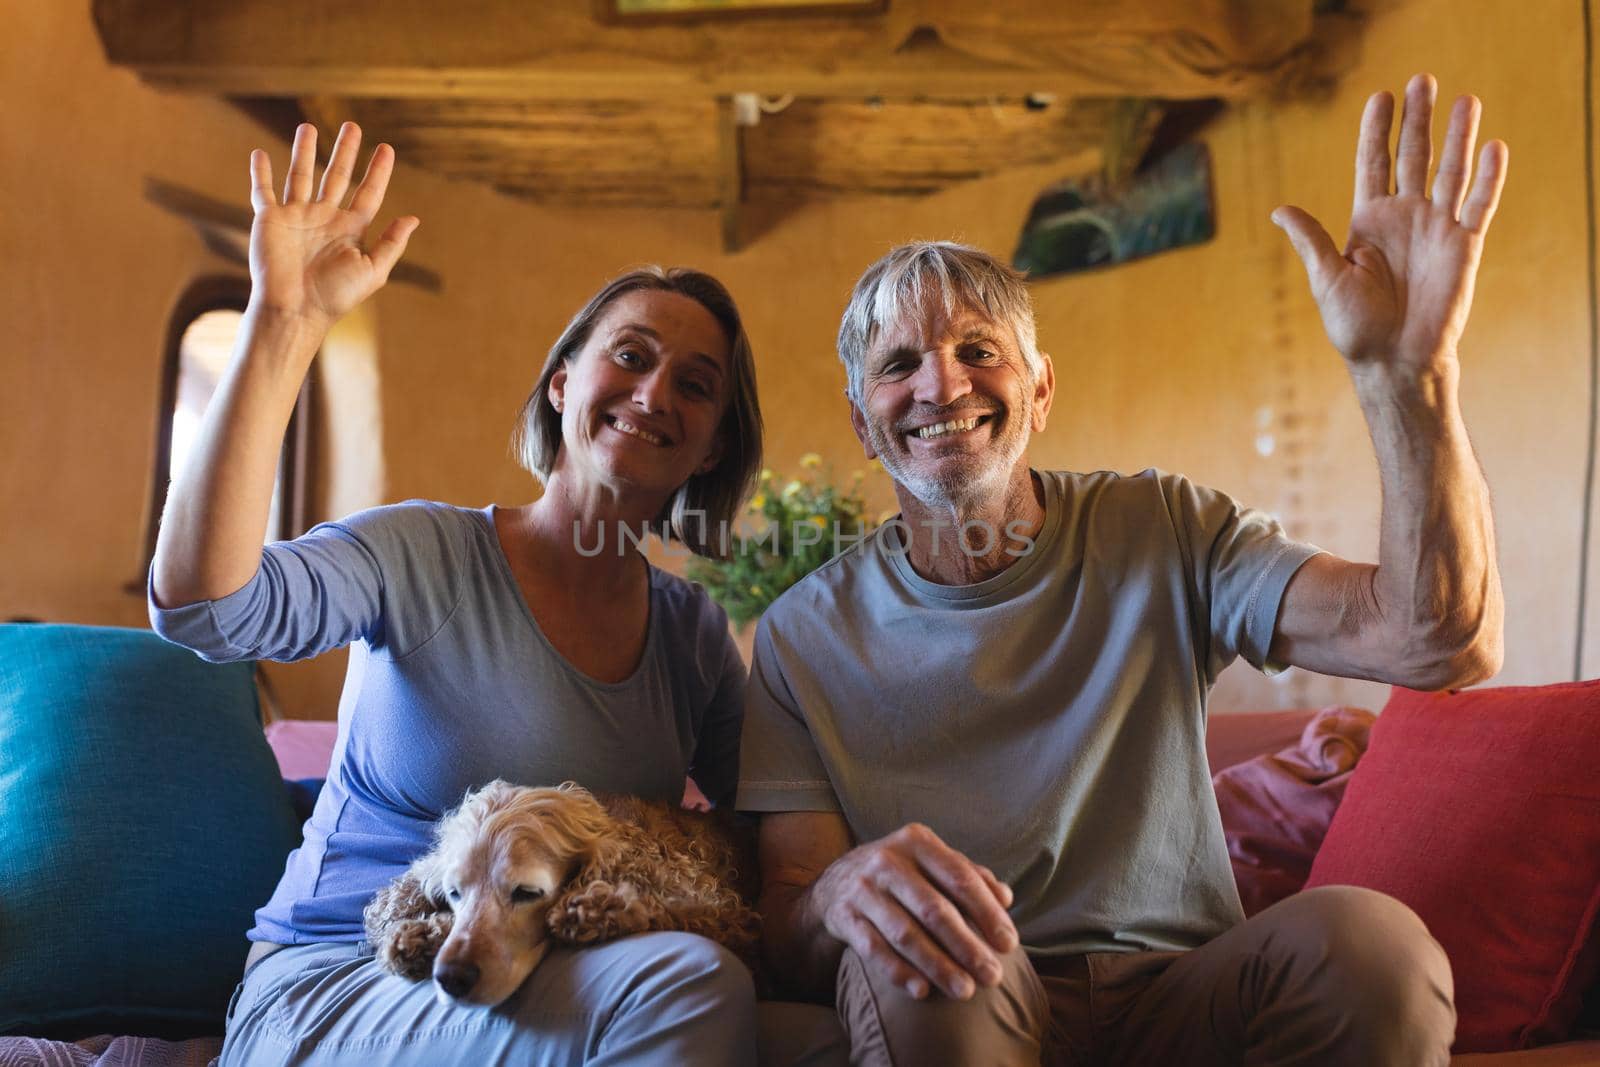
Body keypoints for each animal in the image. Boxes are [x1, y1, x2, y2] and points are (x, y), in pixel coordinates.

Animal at [364, 780, 761, 1004]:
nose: (452, 977)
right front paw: (416, 935)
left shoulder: (729, 917)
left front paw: (593, 908)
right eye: (454, 893)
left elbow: (675, 909)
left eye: (526, 892)